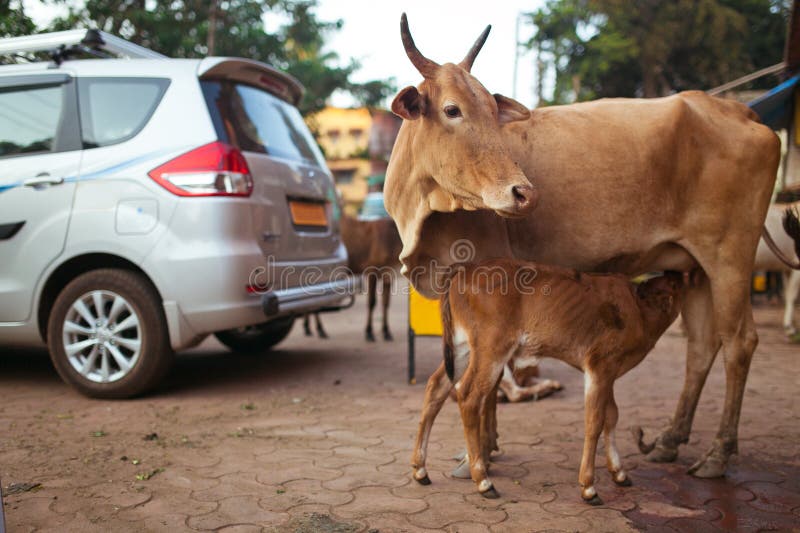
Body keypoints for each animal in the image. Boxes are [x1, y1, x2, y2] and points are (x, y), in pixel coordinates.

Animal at [385, 14, 800, 478]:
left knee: (739, 343)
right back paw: (670, 440)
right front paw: (483, 450)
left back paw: (718, 454)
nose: (523, 193)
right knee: (702, 346)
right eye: (451, 109)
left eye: (494, 112)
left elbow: (487, 381)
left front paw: (479, 454)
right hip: (695, 268)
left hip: (729, 259)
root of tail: (738, 109)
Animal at [411, 260, 685, 503]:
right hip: (491, 350)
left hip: (462, 347)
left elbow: (612, 415)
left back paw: (420, 469)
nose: (677, 272)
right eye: (676, 282)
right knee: (469, 396)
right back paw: (483, 481)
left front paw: (618, 472)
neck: (639, 309)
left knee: (436, 386)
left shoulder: (610, 373)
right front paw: (589, 487)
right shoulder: (600, 366)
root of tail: (465, 268)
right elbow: (595, 421)